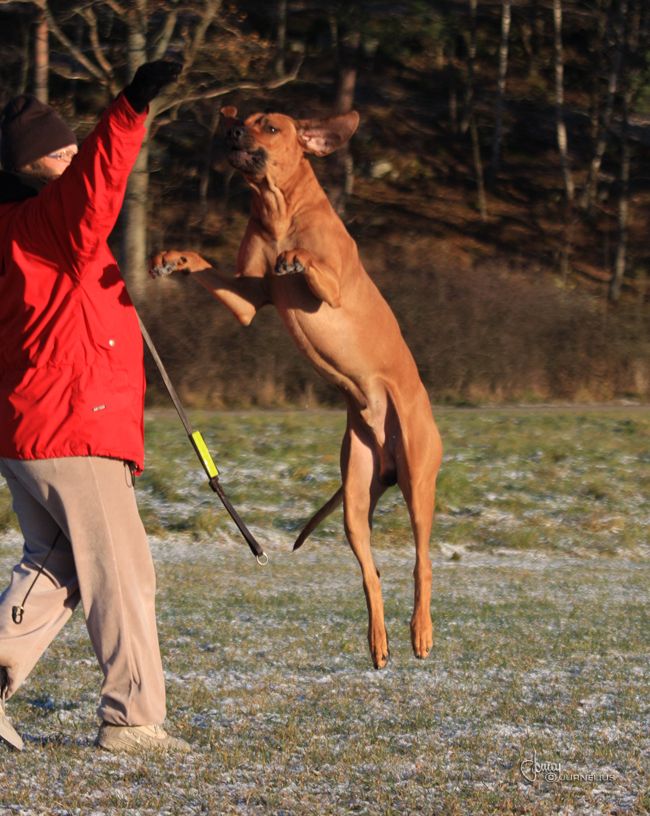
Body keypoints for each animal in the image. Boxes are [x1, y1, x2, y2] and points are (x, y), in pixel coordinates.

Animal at [151, 107, 442, 668]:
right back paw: (378, 641)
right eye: (241, 116)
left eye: (269, 126)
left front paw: (296, 256)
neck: (277, 208)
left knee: (422, 559)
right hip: (356, 494)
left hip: (419, 477)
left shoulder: (332, 290)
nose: (231, 129)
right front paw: (175, 257)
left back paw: (420, 631)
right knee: (370, 573)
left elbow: (311, 261)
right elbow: (212, 269)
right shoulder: (247, 301)